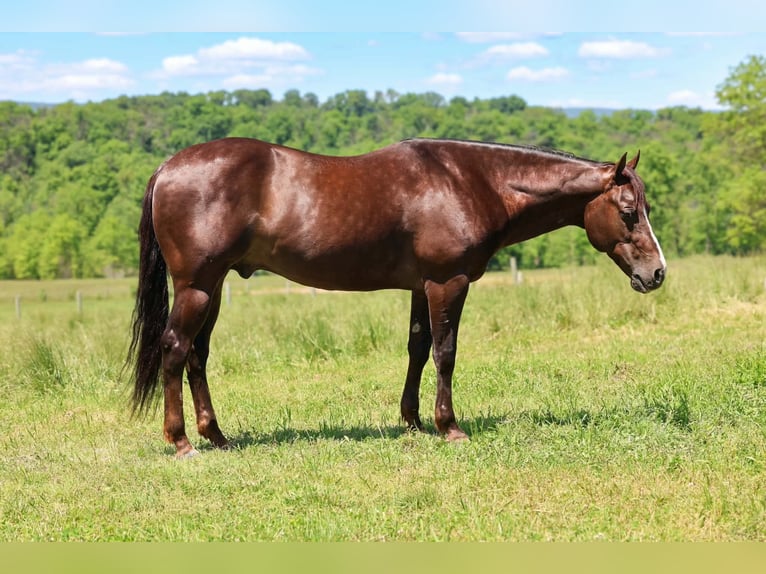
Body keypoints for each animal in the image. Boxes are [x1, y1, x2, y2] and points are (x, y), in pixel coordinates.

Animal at [127, 137, 666, 457]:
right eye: (628, 211)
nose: (656, 273)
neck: (471, 181)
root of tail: (168, 167)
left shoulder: (420, 286)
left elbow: (417, 349)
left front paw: (412, 422)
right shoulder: (448, 282)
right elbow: (446, 353)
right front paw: (449, 426)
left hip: (213, 287)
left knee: (197, 355)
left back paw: (217, 436)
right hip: (197, 286)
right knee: (175, 349)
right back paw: (181, 441)